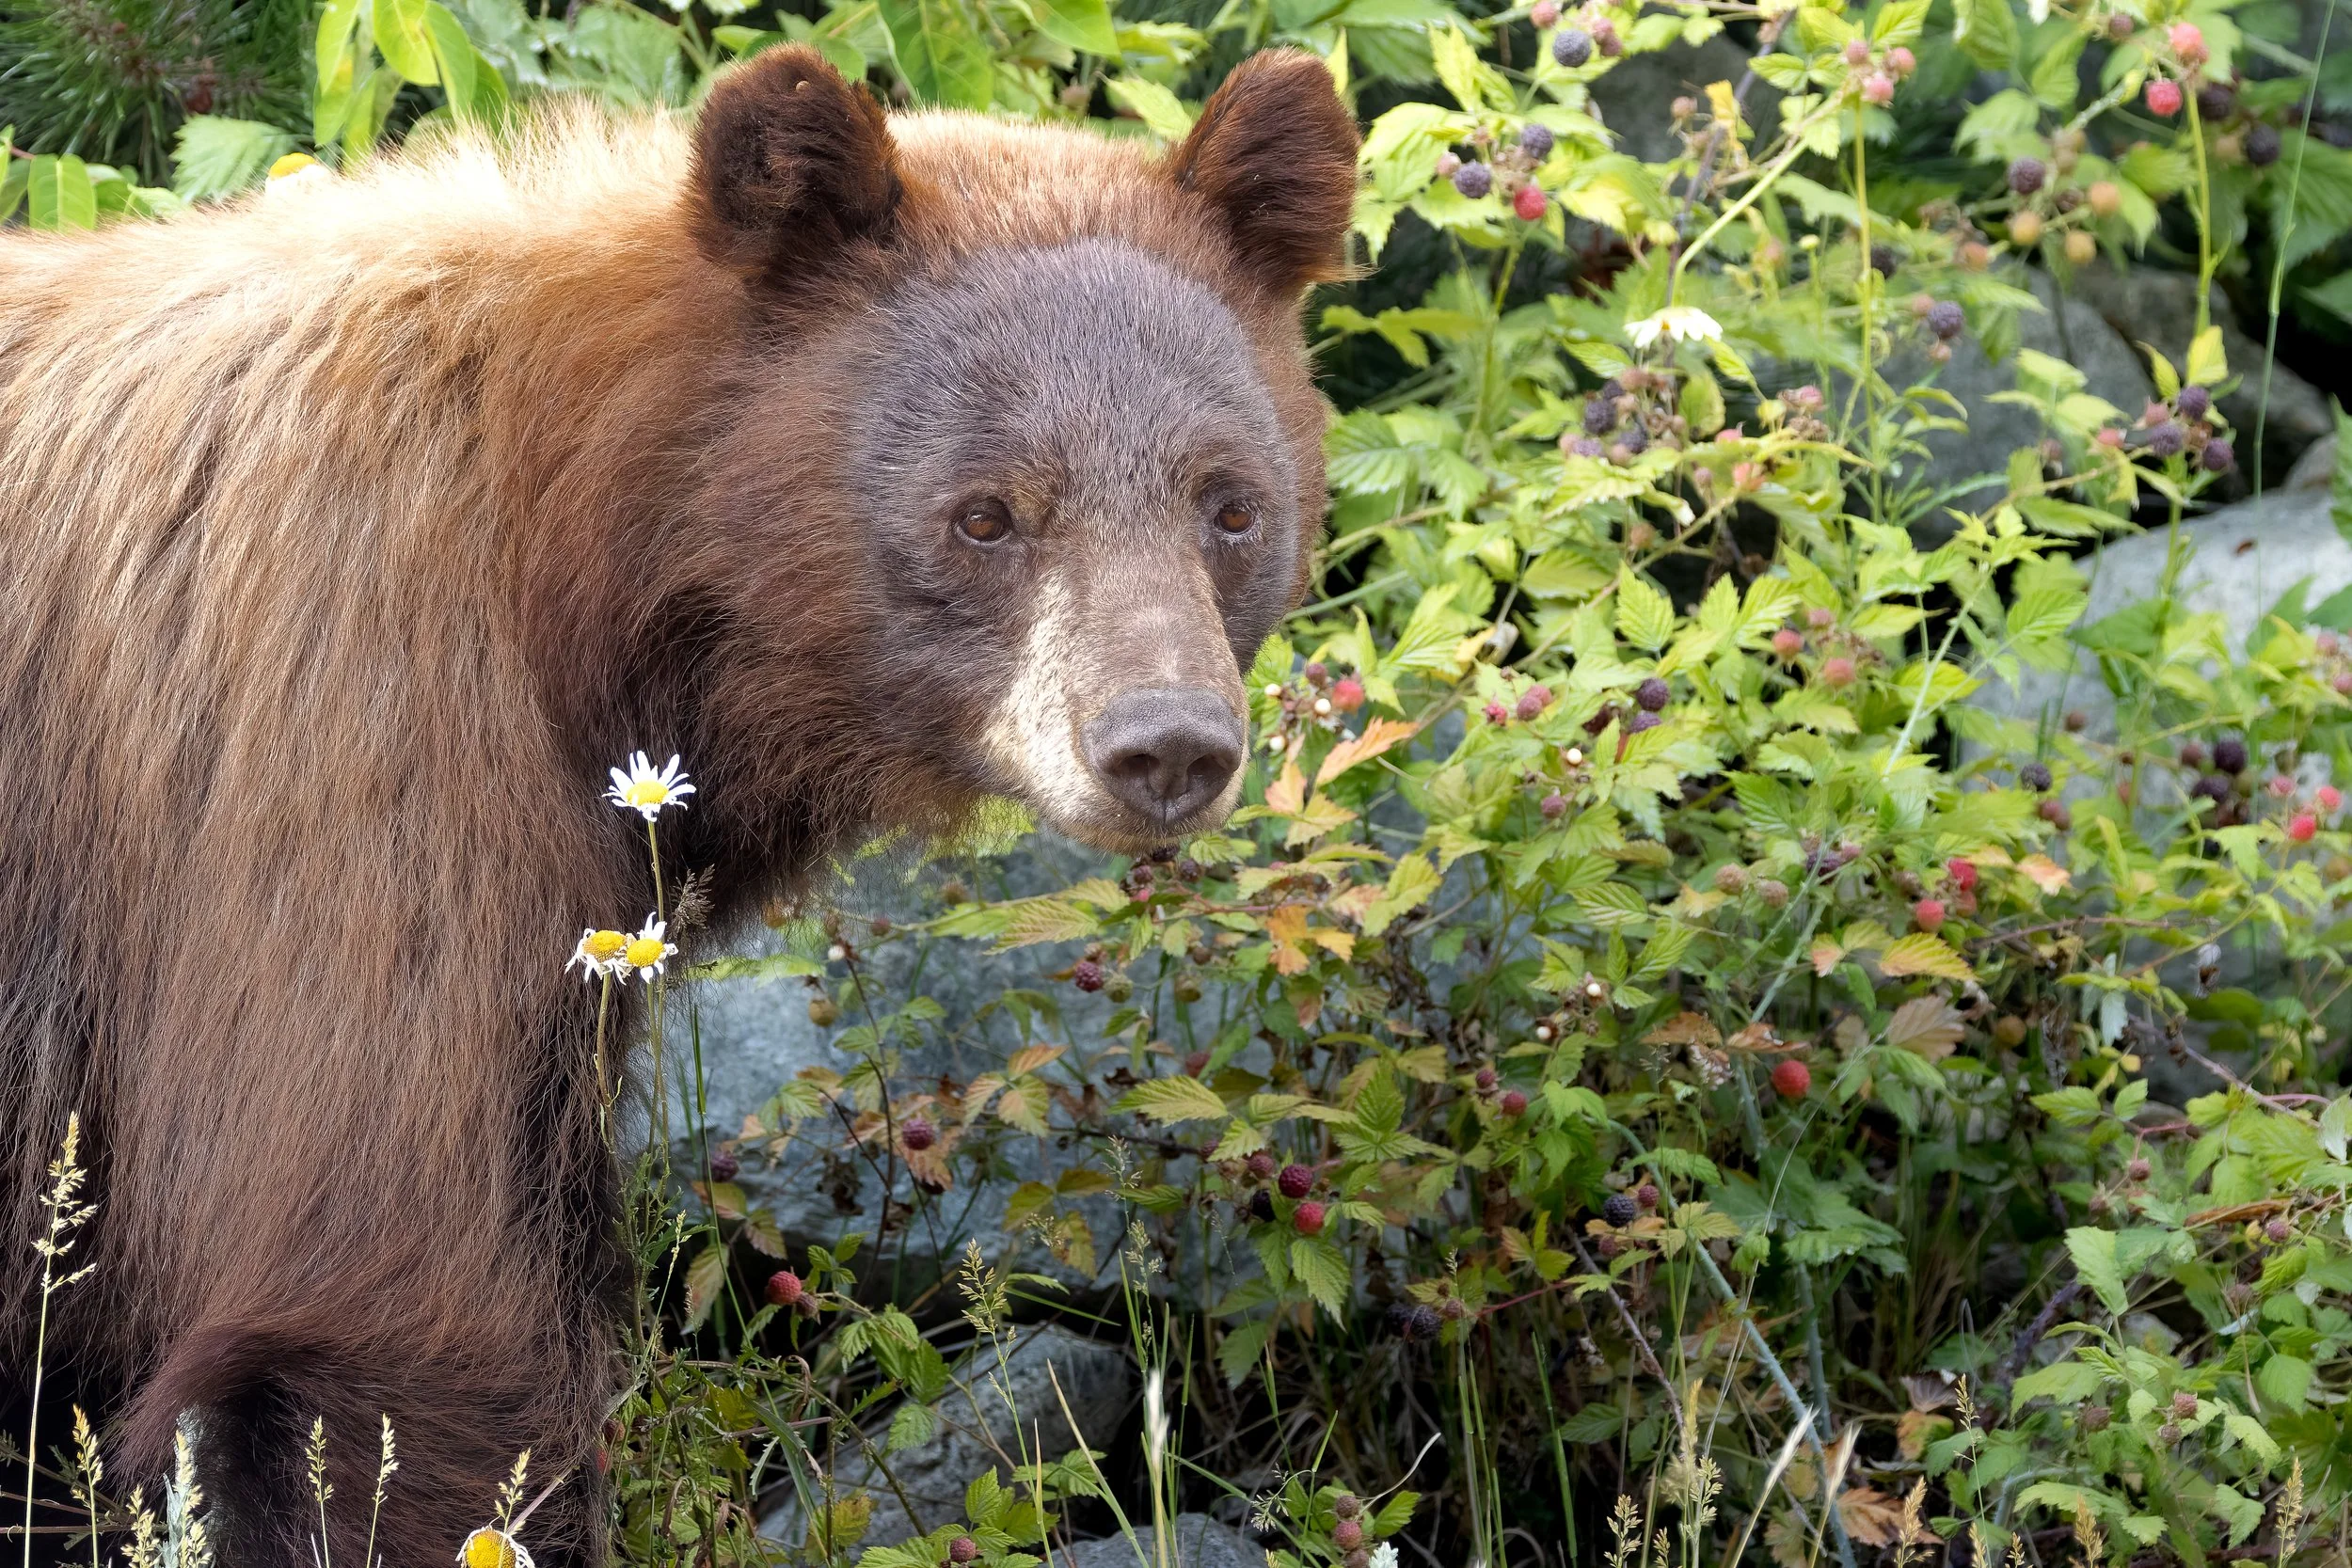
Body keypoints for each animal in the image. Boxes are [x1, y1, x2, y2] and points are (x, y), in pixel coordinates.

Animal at [0, 45, 1357, 1567]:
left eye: (1229, 502)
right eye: (986, 513)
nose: (1165, 745)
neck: (575, 539)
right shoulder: (350, 729)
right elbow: (374, 1307)